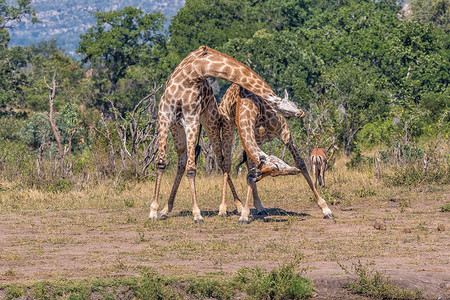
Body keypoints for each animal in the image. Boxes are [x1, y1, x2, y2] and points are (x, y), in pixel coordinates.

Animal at [149, 46, 304, 223]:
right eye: (291, 104)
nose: (301, 112)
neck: (194, 72)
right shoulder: (164, 115)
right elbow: (161, 162)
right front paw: (154, 211)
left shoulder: (191, 118)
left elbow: (192, 168)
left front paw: (197, 213)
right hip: (177, 127)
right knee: (182, 161)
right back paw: (166, 209)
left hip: (210, 123)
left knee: (220, 162)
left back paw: (237, 206)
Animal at [220, 83, 332, 224]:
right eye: (275, 169)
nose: (294, 171)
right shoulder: (254, 139)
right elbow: (250, 173)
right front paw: (244, 215)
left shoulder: (284, 133)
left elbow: (301, 163)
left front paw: (325, 209)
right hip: (228, 128)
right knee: (227, 166)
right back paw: (226, 209)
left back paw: (257, 207)